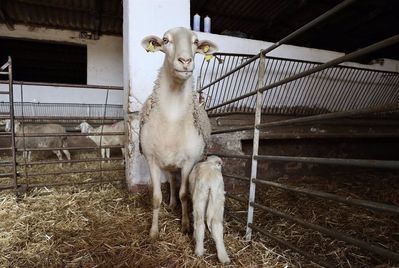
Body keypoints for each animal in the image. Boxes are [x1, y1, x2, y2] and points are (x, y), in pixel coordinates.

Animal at [139, 26, 217, 238]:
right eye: (166, 40)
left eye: (196, 42)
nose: (185, 61)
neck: (172, 118)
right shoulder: (151, 160)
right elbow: (156, 197)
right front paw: (153, 231)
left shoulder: (189, 161)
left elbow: (184, 194)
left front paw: (185, 225)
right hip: (167, 164)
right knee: (172, 183)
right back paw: (171, 203)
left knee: (176, 185)